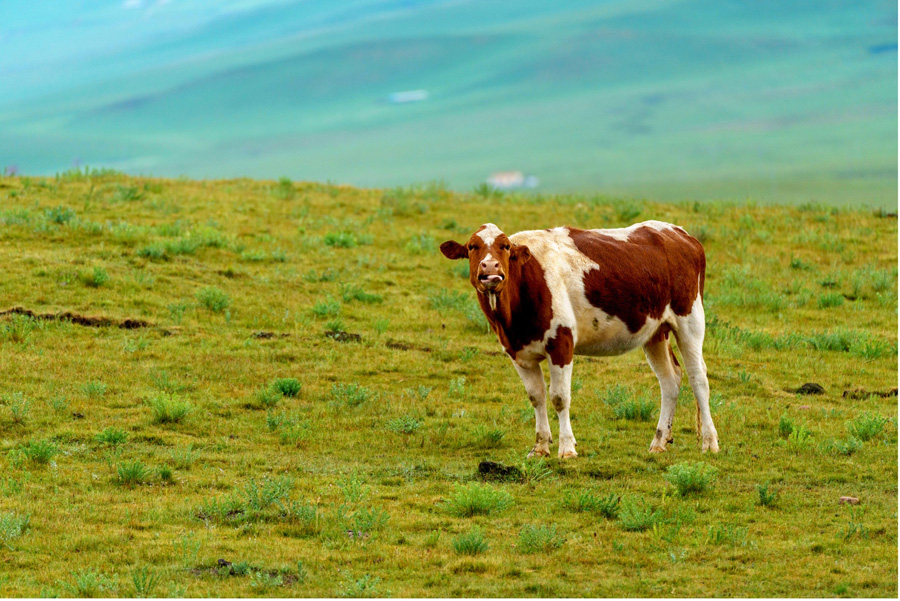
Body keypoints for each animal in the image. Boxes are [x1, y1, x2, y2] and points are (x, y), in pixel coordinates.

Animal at [440, 223, 720, 458]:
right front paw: (540, 447)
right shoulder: (518, 353)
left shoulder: (561, 343)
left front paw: (567, 448)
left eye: (505, 246)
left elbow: (559, 397)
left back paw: (709, 442)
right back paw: (659, 441)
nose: (490, 269)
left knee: (698, 378)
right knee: (670, 379)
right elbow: (536, 397)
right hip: (655, 331)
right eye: (472, 246)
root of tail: (681, 234)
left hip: (690, 319)